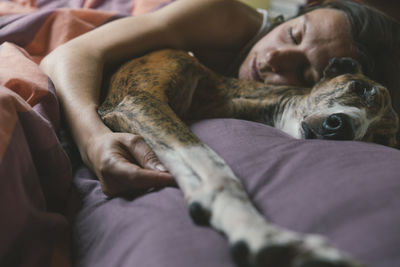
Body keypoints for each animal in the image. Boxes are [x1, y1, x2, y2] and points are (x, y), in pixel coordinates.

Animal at [98, 49, 398, 266]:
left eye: (382, 140)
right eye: (359, 87)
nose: (342, 127)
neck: (227, 95)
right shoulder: (140, 99)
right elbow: (213, 164)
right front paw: (263, 234)